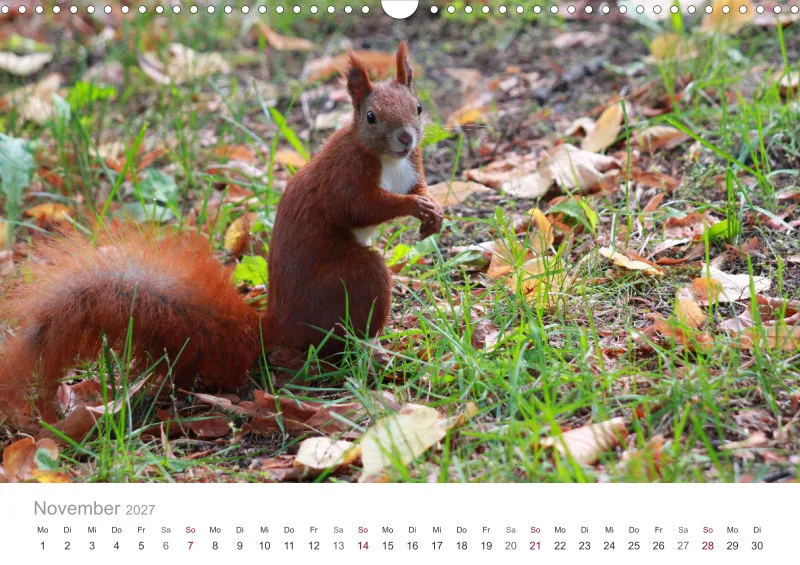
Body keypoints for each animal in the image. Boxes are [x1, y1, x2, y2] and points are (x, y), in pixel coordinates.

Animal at [0, 41, 443, 426]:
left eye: (418, 108)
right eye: (370, 117)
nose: (406, 138)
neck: (387, 159)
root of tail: (278, 325)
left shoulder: (413, 164)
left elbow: (418, 184)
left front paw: (432, 211)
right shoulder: (346, 179)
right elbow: (362, 207)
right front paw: (413, 208)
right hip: (352, 279)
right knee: (338, 335)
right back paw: (371, 351)